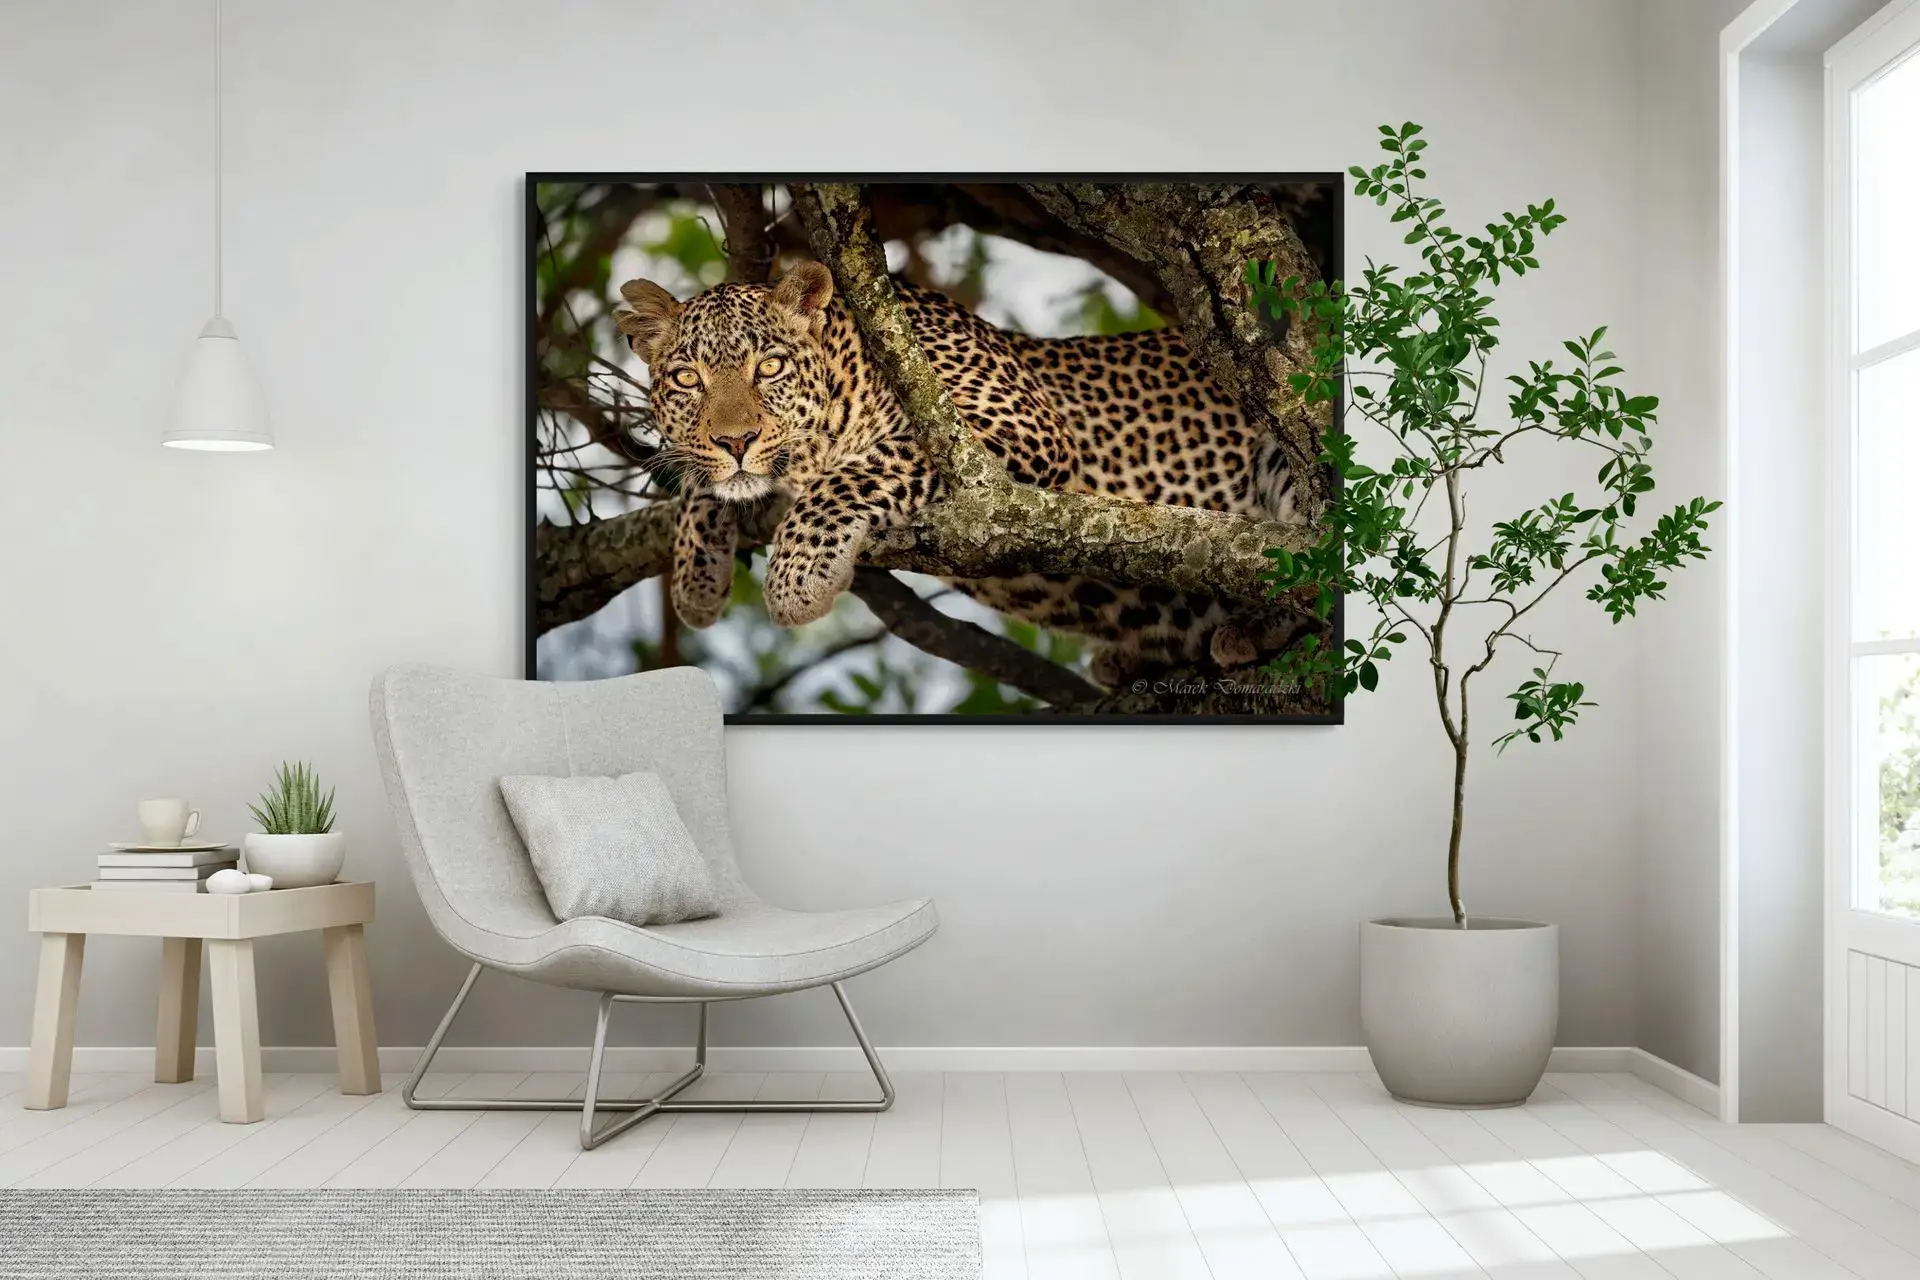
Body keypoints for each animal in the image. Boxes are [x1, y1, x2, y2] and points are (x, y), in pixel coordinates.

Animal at [613, 259, 1301, 687]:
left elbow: (853, 475)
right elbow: (701, 479)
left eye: (771, 367)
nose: (735, 439)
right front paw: (696, 579)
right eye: (687, 379)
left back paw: (1253, 628)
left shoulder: (1013, 427)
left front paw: (795, 579)